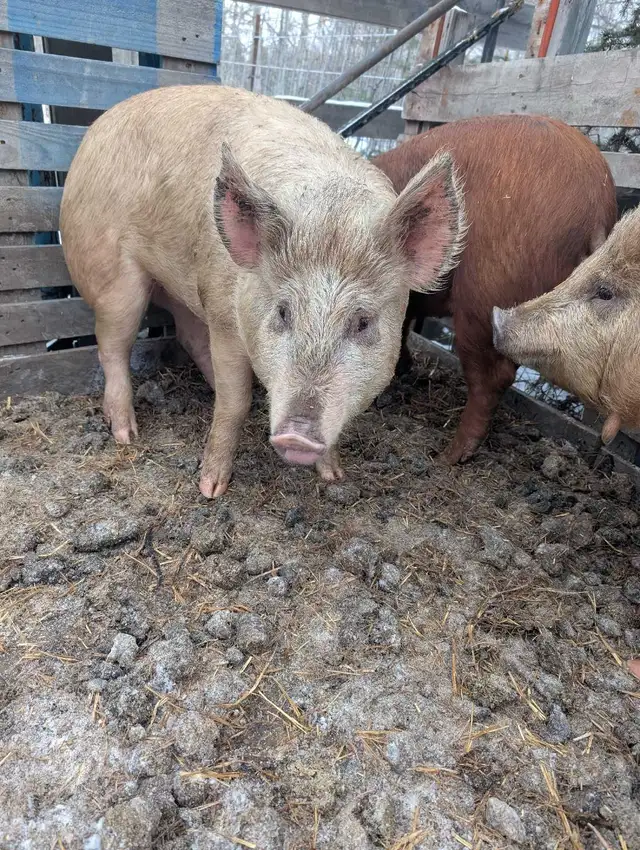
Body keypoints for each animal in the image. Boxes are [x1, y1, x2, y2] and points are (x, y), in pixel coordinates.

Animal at [60, 85, 465, 497]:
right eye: (283, 311)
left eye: (363, 322)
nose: (297, 436)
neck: (331, 212)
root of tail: (93, 132)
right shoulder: (224, 316)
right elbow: (233, 403)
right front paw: (211, 489)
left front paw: (334, 477)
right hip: (111, 274)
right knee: (112, 345)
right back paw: (126, 433)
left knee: (187, 334)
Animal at [372, 114, 617, 463]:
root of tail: (597, 207)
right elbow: (402, 328)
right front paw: (403, 370)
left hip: (484, 293)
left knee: (492, 378)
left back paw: (449, 456)